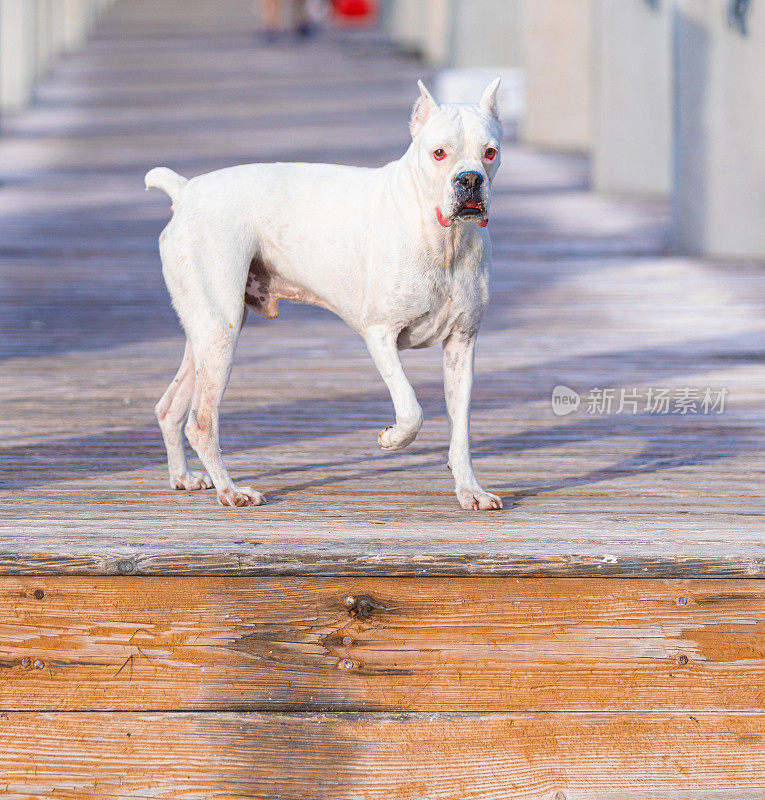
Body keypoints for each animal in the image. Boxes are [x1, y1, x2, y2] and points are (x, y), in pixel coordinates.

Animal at [146, 78, 504, 510]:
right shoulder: (380, 336)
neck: (442, 239)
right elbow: (411, 409)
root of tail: (185, 191)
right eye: (439, 153)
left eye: (490, 152)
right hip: (221, 334)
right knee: (202, 421)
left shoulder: (461, 347)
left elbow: (460, 429)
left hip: (207, 334)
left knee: (171, 408)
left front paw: (470, 490)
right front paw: (391, 439)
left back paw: (183, 477)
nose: (469, 180)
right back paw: (231, 491)